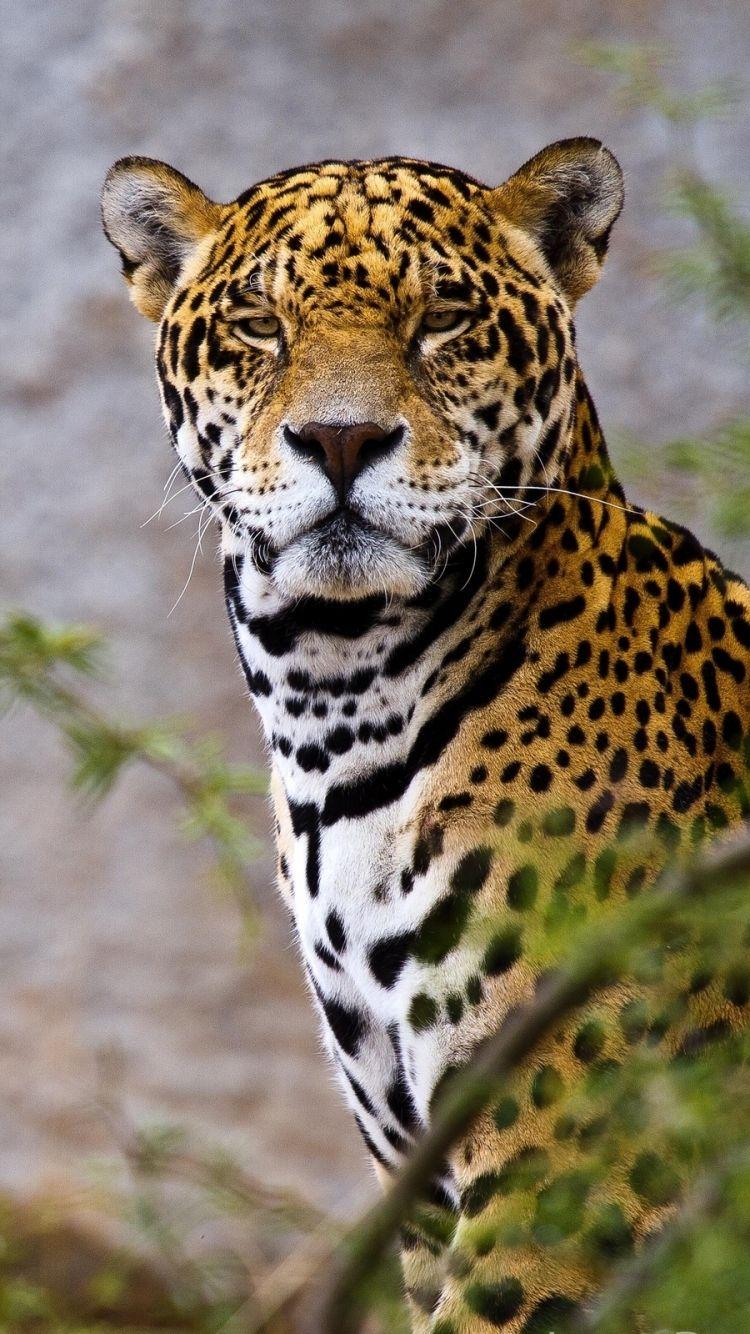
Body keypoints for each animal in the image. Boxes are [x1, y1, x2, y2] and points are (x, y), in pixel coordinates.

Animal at [102, 139, 750, 1332]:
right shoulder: (418, 1175)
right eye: (259, 324)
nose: (341, 437)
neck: (337, 702)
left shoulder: (568, 1164)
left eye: (443, 318)